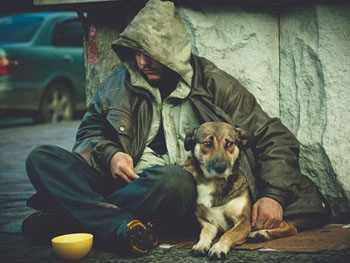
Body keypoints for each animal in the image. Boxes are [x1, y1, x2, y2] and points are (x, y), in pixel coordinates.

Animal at [182, 122, 318, 260]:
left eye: (229, 144)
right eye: (207, 143)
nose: (221, 168)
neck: (216, 182)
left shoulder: (244, 221)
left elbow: (228, 234)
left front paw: (219, 247)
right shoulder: (208, 223)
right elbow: (204, 233)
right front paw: (201, 245)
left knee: (291, 227)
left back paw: (261, 234)